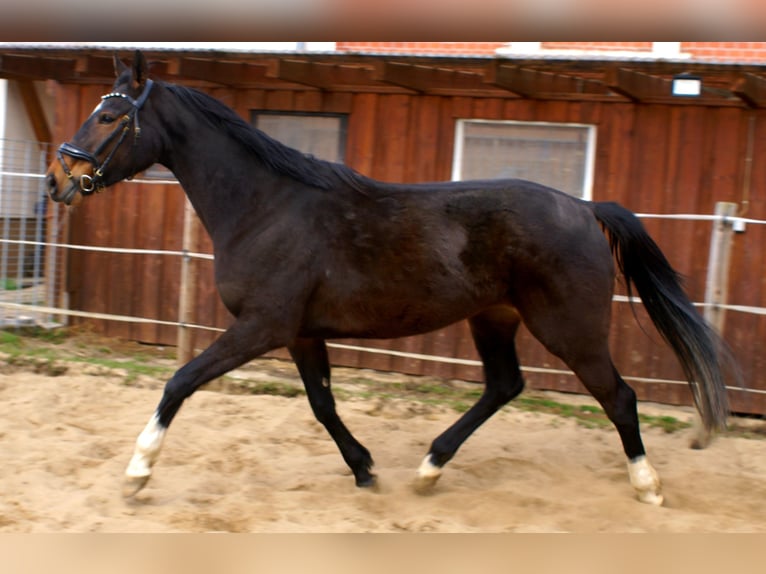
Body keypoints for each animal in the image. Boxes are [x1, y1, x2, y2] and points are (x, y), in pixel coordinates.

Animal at [46, 51, 732, 506]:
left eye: (108, 118)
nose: (57, 181)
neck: (266, 206)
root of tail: (586, 208)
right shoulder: (301, 332)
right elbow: (322, 404)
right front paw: (365, 469)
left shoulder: (262, 327)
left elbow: (179, 381)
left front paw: (137, 473)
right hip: (494, 318)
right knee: (505, 385)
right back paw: (429, 468)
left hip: (570, 328)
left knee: (619, 397)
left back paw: (648, 486)